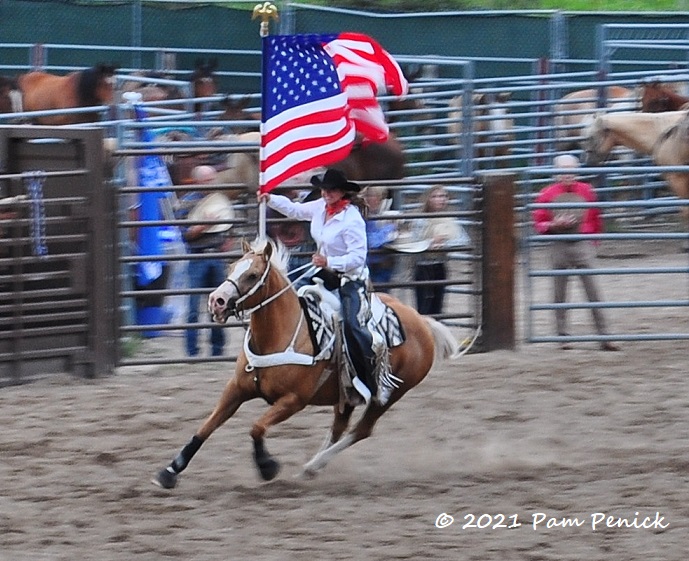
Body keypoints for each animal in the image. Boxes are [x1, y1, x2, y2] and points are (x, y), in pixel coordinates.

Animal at [153, 238, 460, 488]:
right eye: (230, 268)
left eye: (252, 275)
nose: (216, 301)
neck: (280, 335)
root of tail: (423, 322)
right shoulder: (236, 389)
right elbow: (206, 427)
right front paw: (169, 471)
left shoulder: (293, 401)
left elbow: (256, 427)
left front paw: (267, 467)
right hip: (347, 395)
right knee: (338, 429)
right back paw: (312, 468)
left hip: (389, 394)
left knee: (362, 430)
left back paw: (313, 466)